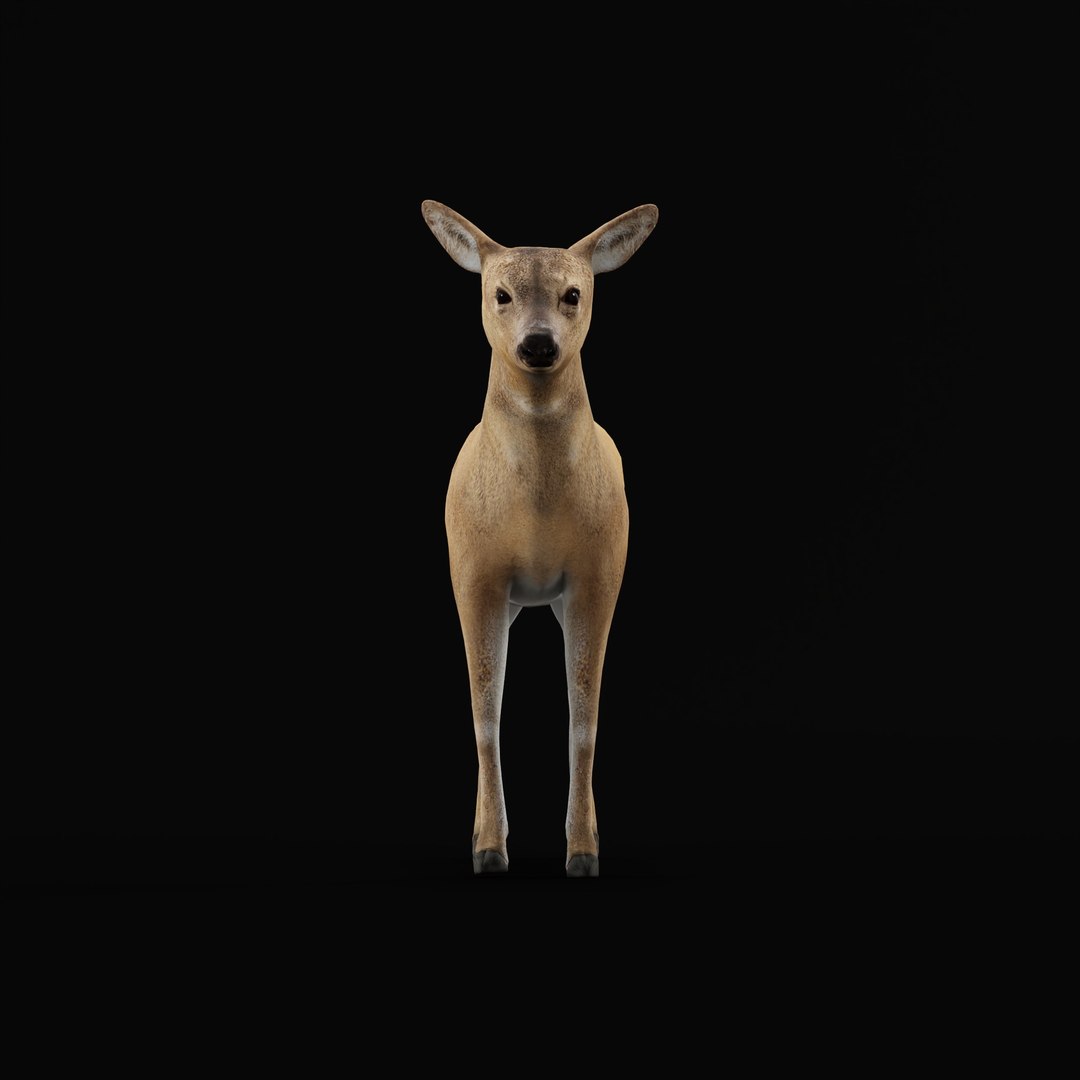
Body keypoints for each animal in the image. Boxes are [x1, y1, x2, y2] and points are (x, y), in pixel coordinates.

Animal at [421, 200, 658, 877]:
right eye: (499, 293)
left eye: (572, 293)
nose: (537, 343)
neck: (536, 520)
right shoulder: (473, 572)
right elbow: (484, 715)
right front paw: (488, 847)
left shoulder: (599, 573)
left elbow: (583, 721)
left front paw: (583, 850)